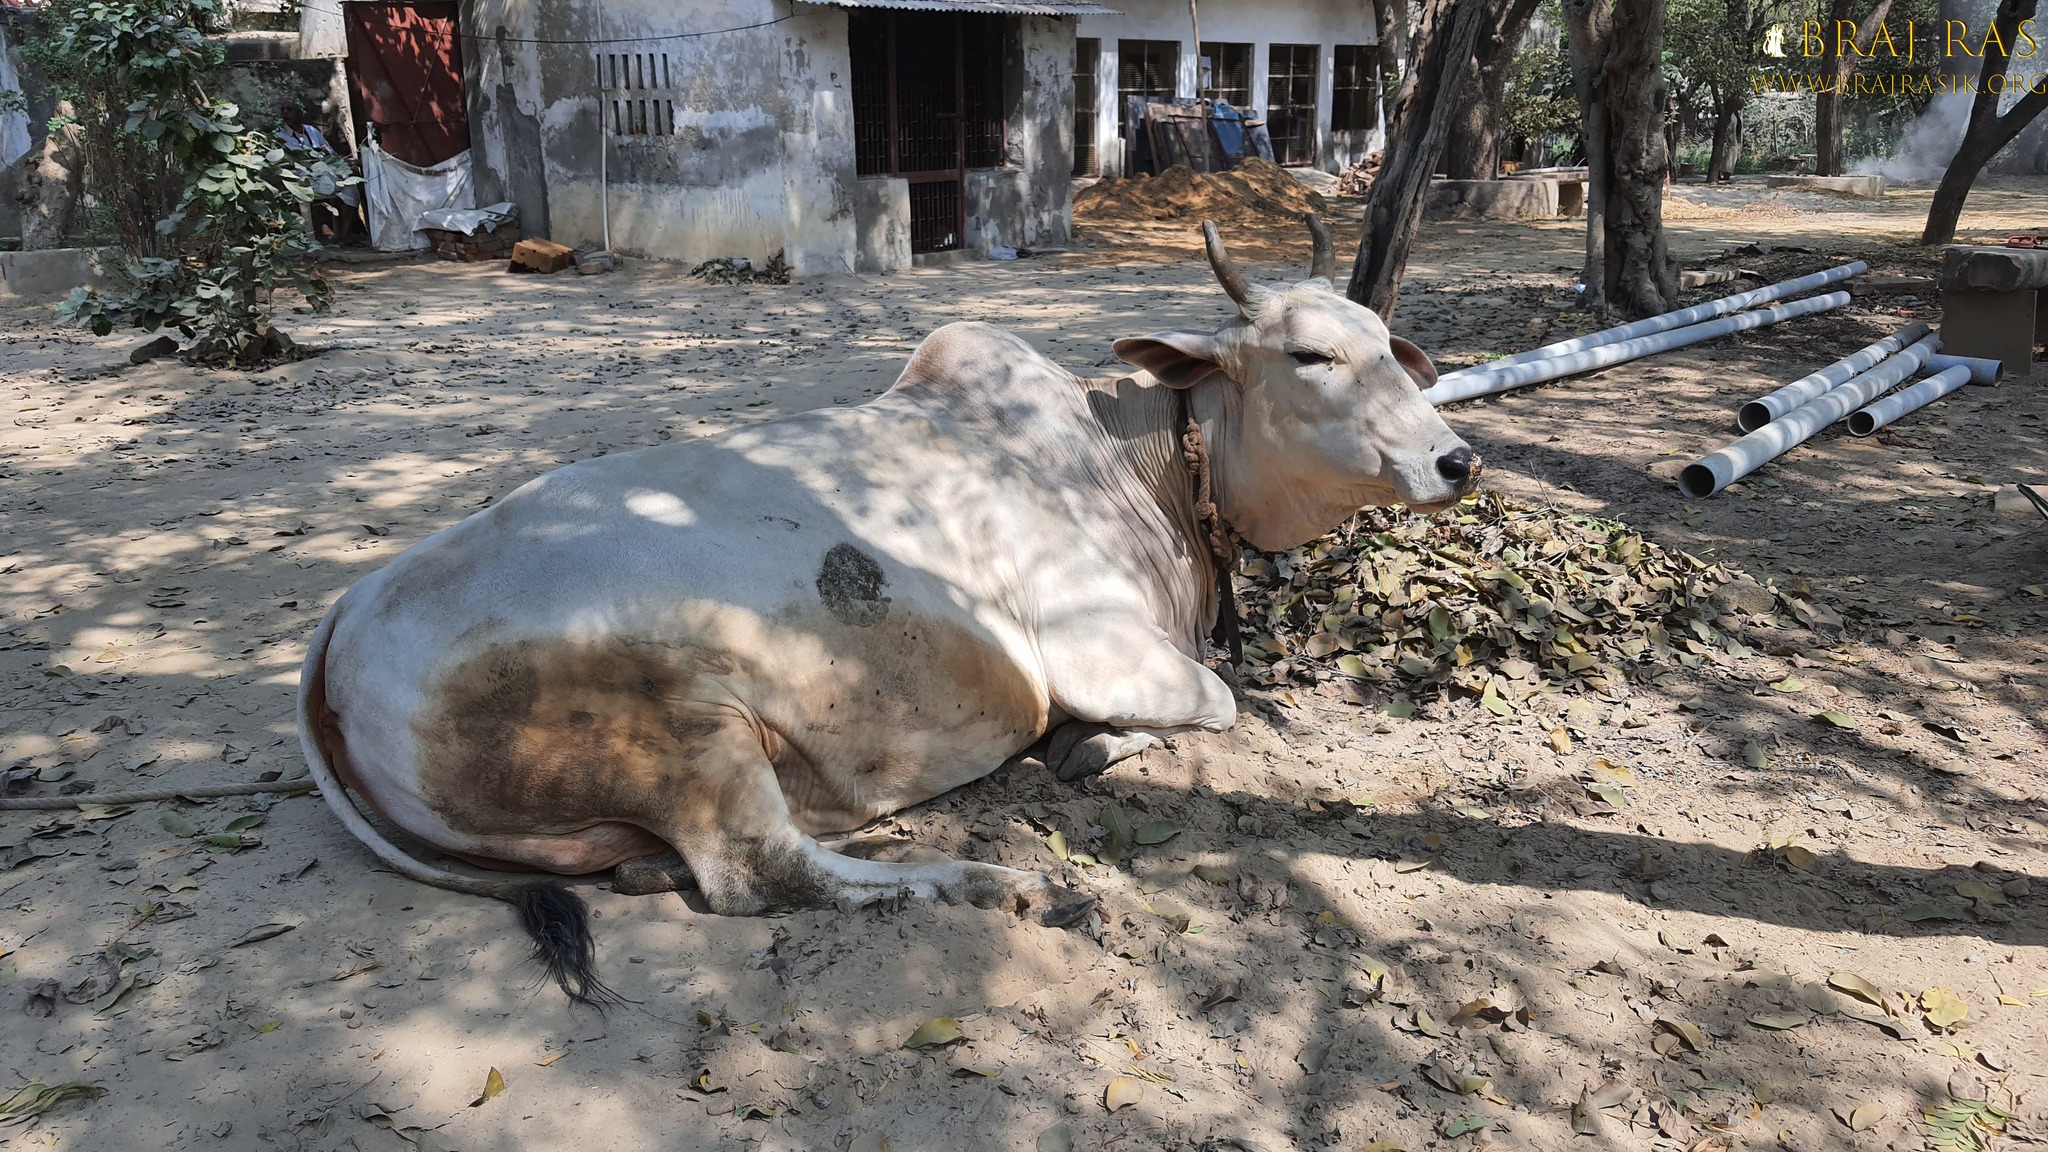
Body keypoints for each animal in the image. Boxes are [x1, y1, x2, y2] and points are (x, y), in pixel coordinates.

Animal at [297, 218, 1479, 1004]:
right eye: (1309, 356)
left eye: (1389, 345)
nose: (1456, 459)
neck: (1133, 459)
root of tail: (343, 622)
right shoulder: (1094, 652)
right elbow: (1216, 702)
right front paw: (1091, 749)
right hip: (687, 724)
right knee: (759, 873)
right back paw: (998, 885)